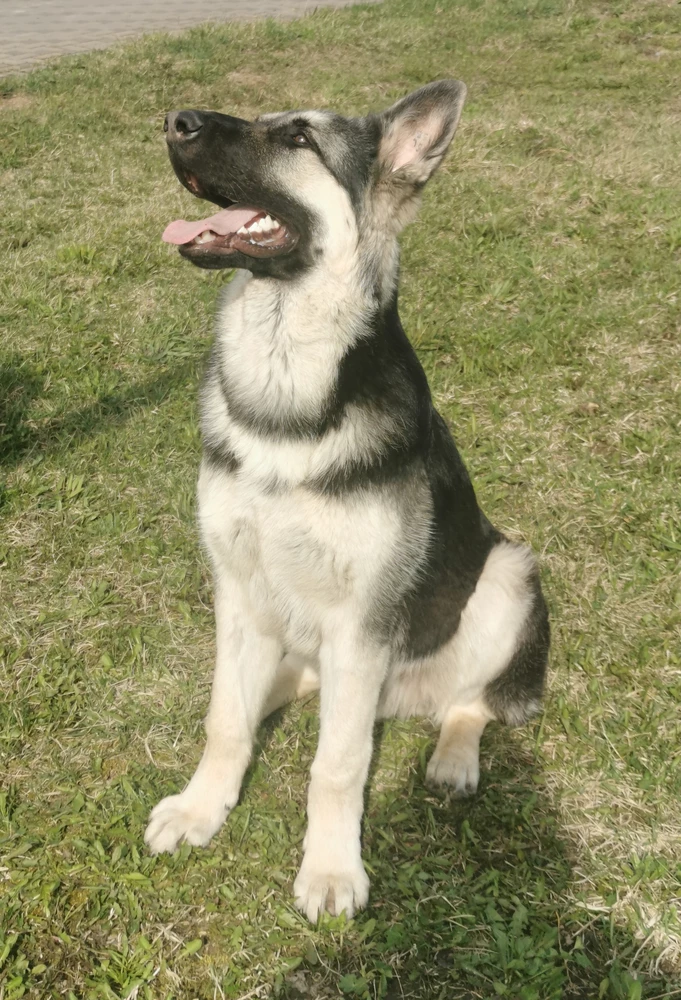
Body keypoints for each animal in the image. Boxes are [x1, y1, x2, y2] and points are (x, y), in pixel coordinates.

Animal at [143, 84, 548, 920]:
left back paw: (453, 754)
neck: (285, 397)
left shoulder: (360, 624)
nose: (173, 121)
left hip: (507, 574)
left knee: (472, 700)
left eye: (298, 137)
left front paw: (330, 869)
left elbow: (337, 764)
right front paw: (202, 806)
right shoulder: (238, 591)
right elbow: (223, 720)